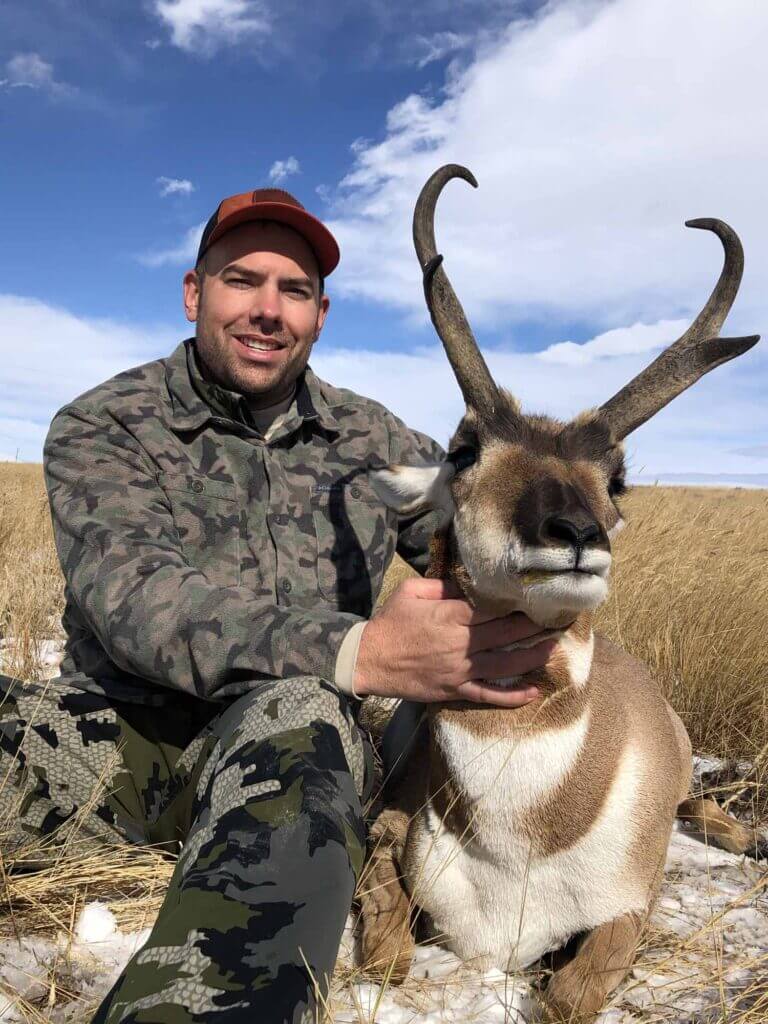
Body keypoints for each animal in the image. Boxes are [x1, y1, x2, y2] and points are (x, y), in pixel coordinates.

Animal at [359, 164, 763, 1022]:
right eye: (462, 449)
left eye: (617, 476)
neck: (520, 843)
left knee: (694, 803)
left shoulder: (628, 909)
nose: (575, 532)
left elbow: (570, 994)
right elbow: (386, 952)